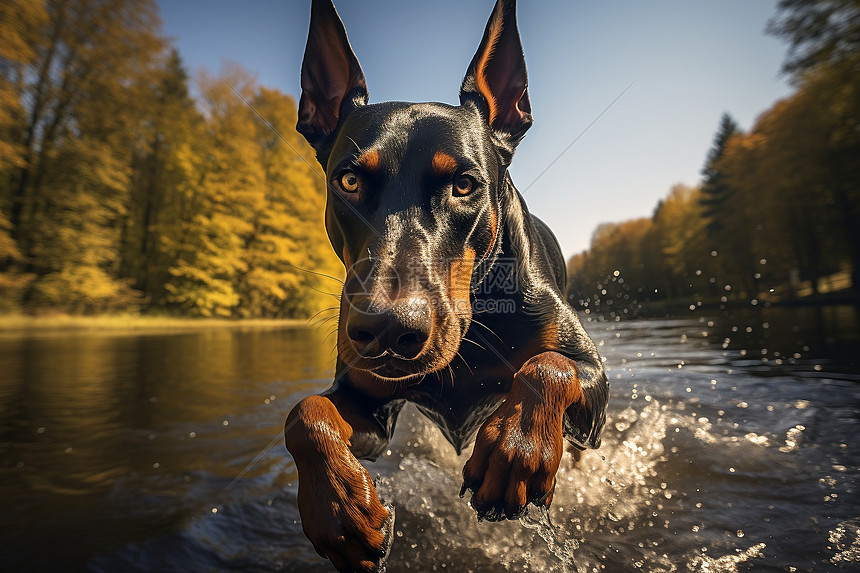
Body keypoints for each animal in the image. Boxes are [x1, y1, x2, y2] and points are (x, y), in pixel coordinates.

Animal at [286, 2, 608, 568]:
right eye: (348, 181)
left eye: (465, 185)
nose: (387, 330)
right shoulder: (369, 403)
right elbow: (305, 413)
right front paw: (341, 509)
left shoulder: (592, 374)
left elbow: (552, 365)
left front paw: (517, 450)